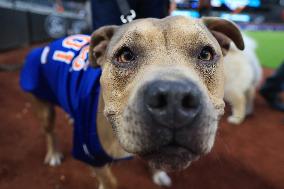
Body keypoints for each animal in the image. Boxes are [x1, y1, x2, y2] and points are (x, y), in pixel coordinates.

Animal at [18, 16, 243, 189]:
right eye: (125, 55)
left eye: (205, 54)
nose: (174, 99)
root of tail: (49, 44)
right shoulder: (93, 158)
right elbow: (110, 181)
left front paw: (158, 174)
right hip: (43, 105)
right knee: (49, 131)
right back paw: (53, 154)